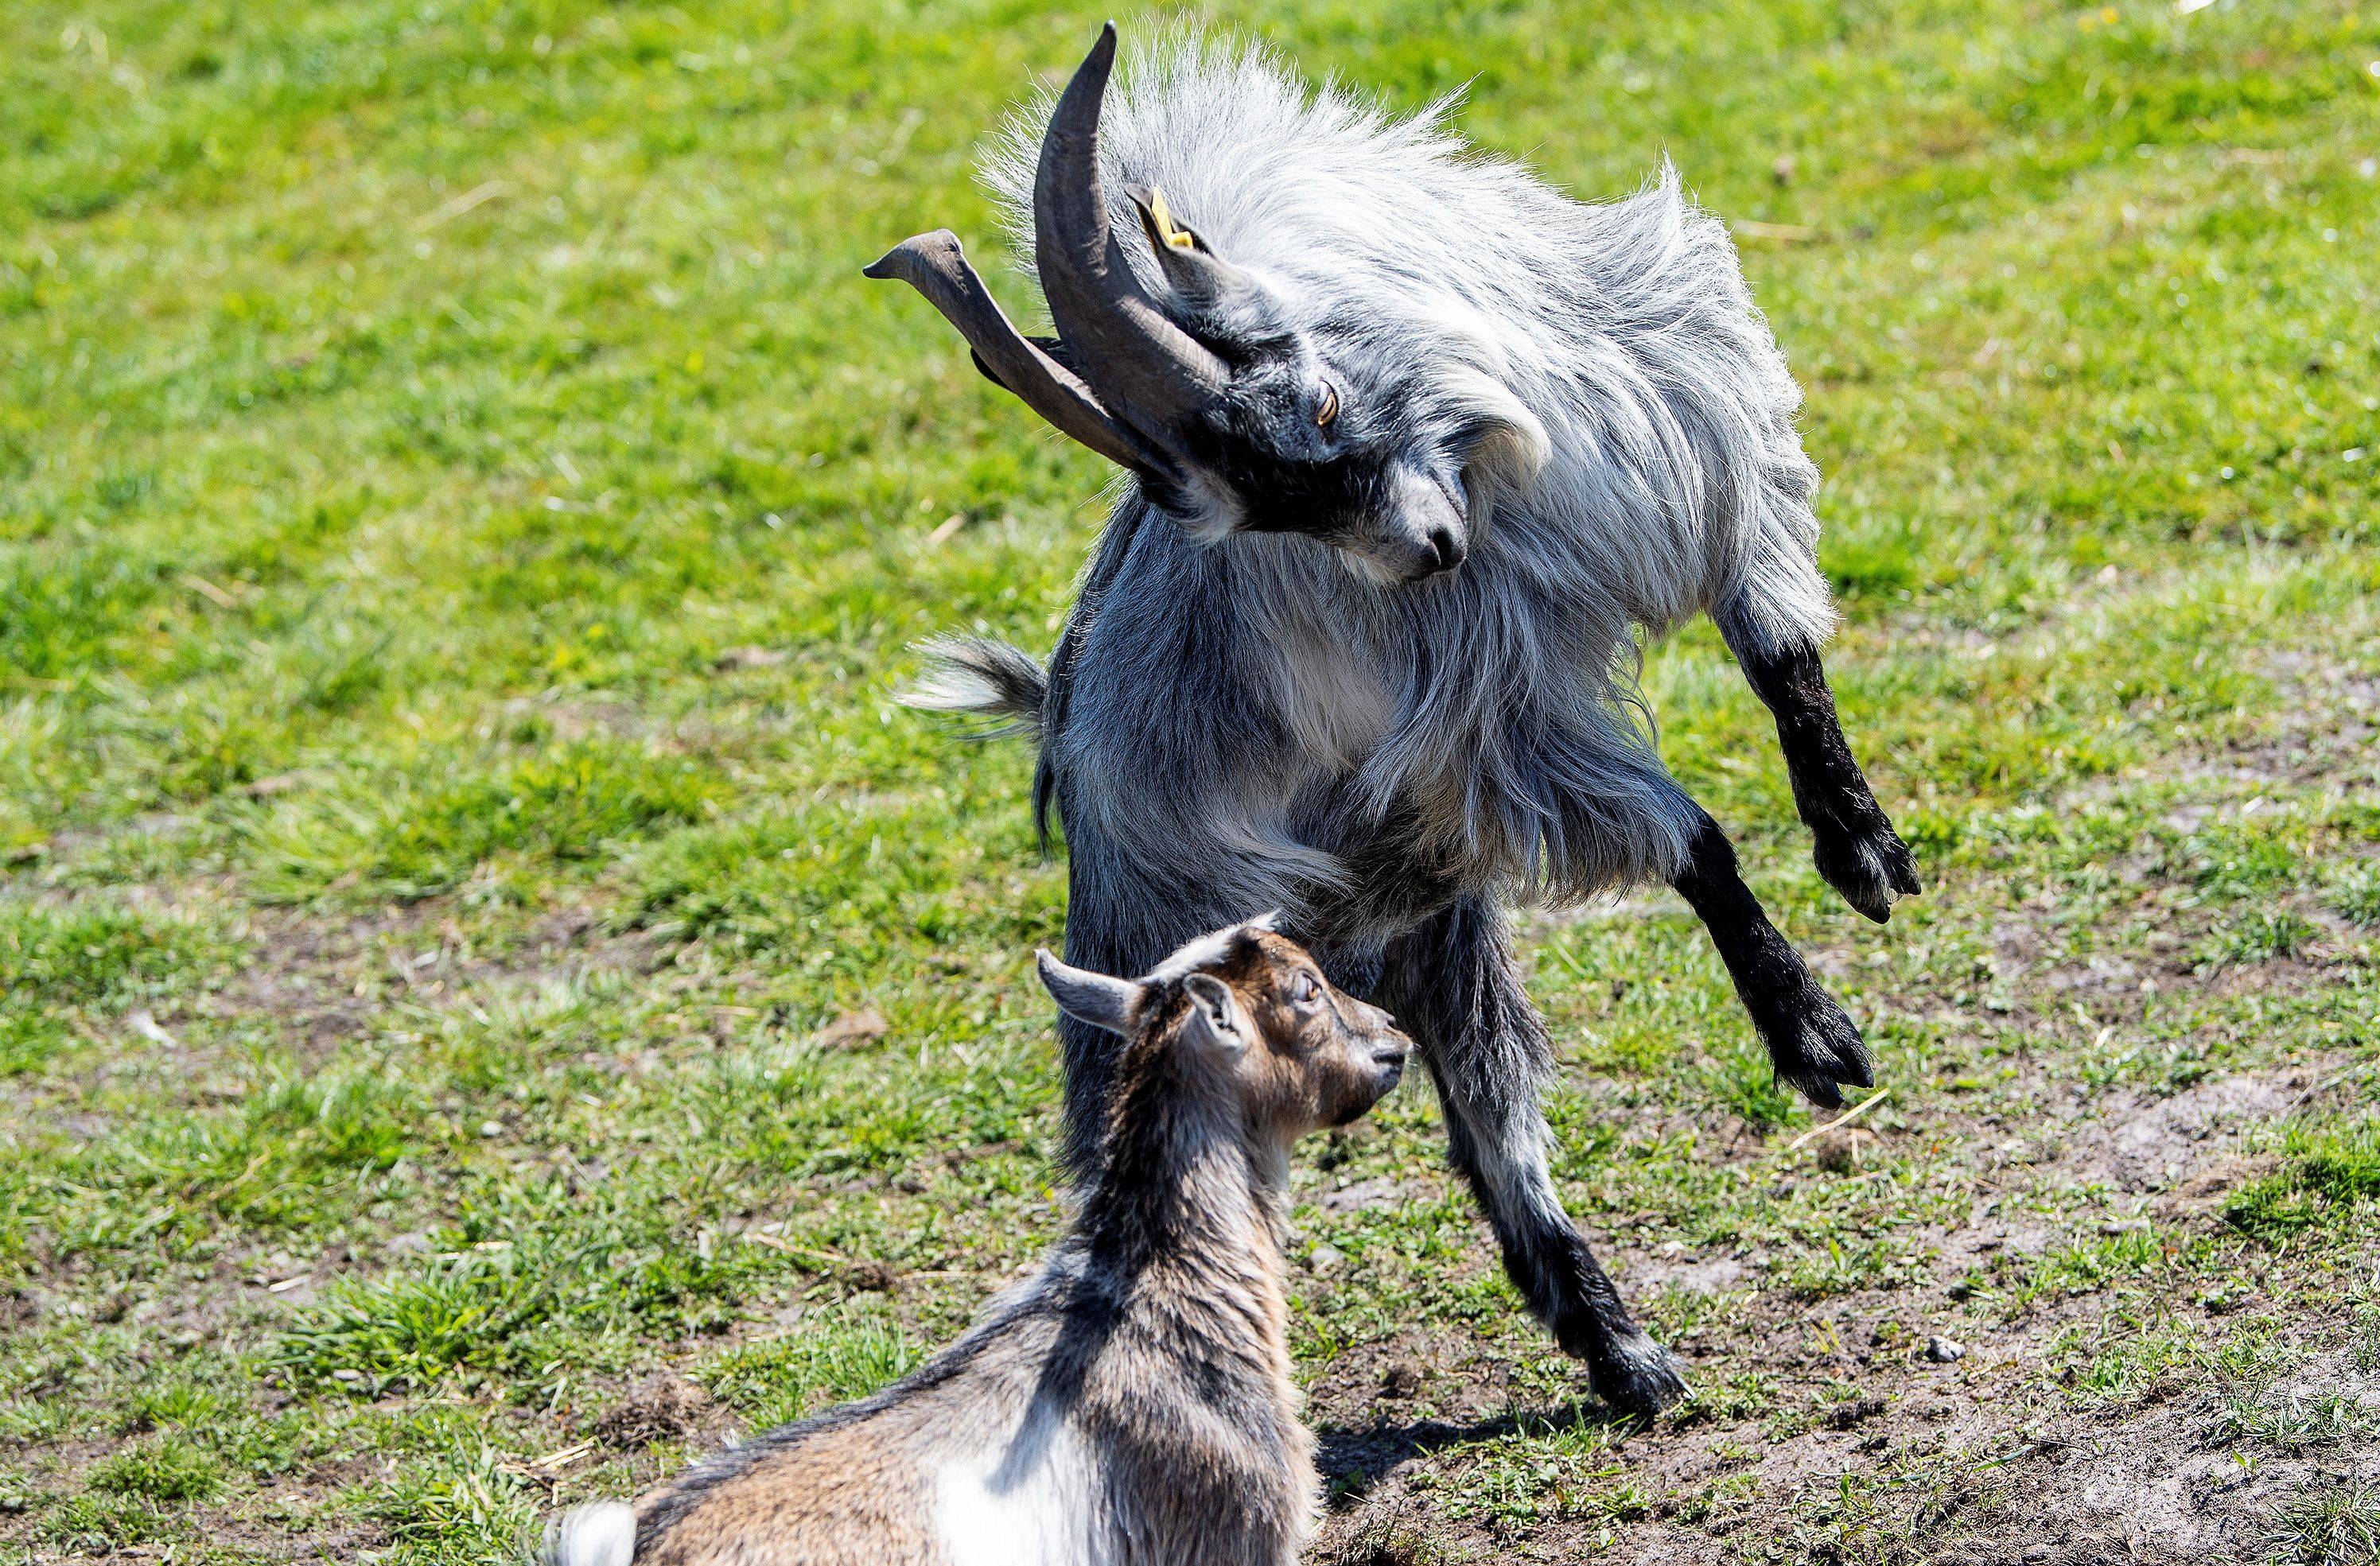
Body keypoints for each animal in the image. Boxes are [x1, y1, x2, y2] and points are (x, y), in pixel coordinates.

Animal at [866, 24, 1923, 1418]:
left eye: (1315, 406)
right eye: (1259, 511)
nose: (1427, 552)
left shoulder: (1701, 458)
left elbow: (1786, 663)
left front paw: (1865, 854)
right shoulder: (1498, 729)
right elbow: (1695, 838)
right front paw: (1817, 1041)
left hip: (1431, 919)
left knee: (1489, 1122)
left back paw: (1627, 1359)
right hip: (1180, 970)